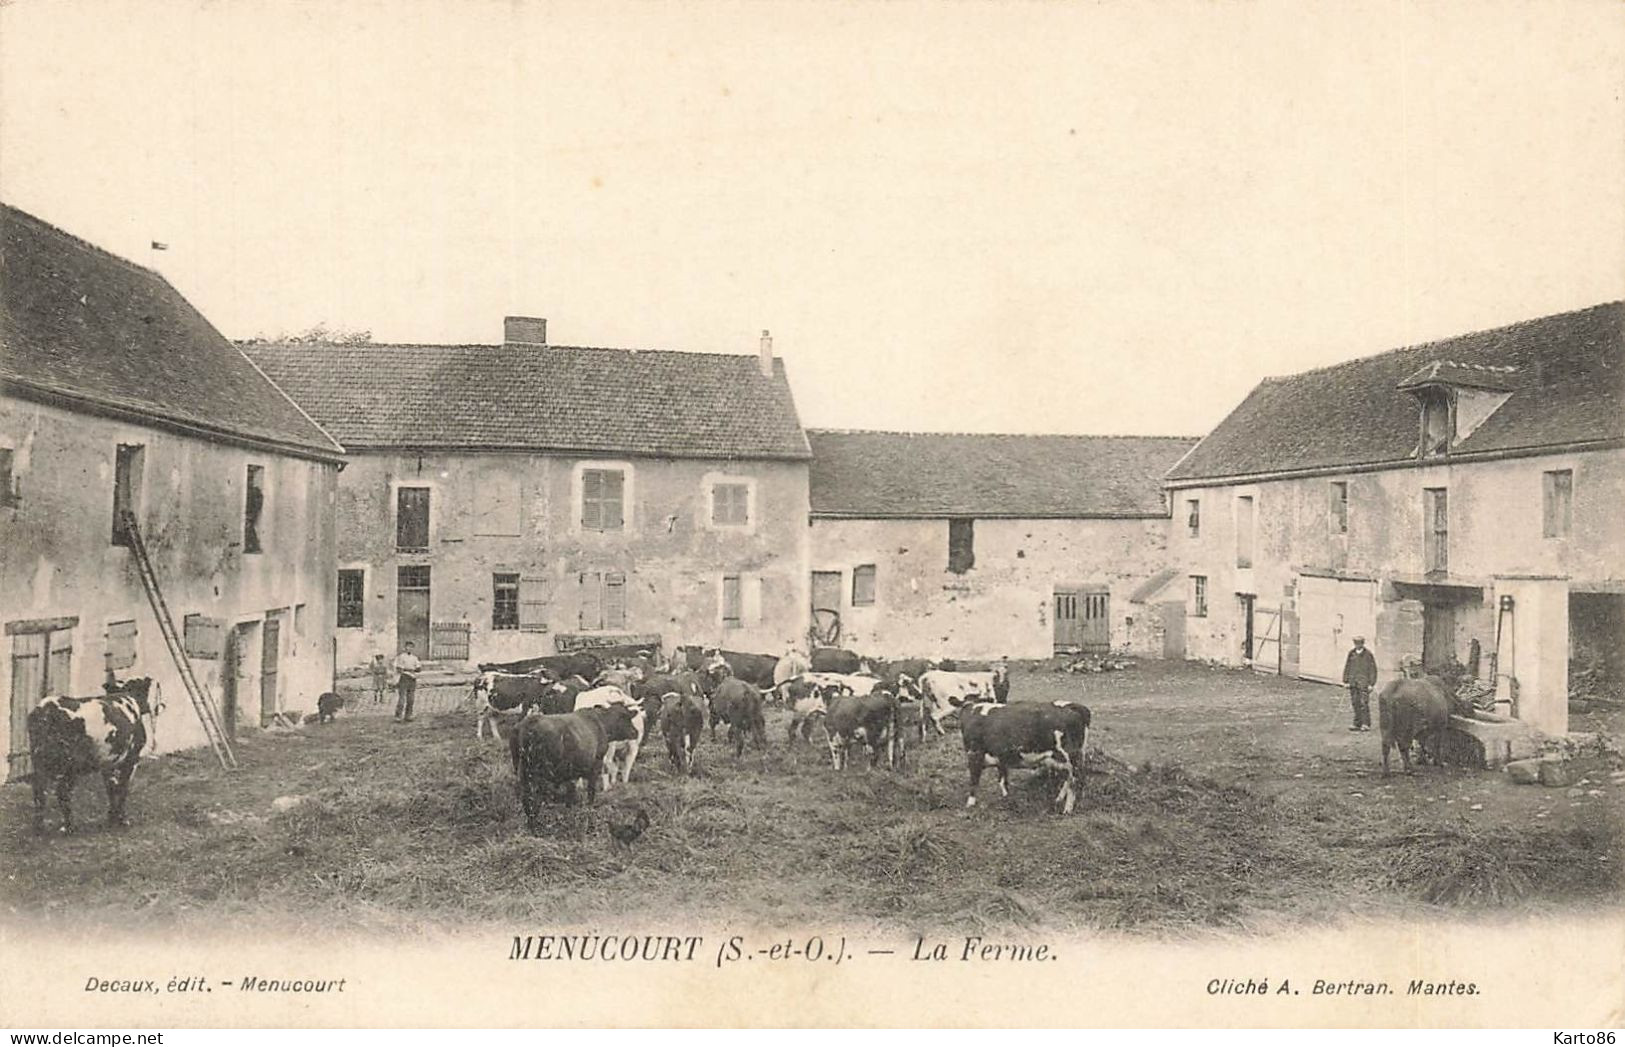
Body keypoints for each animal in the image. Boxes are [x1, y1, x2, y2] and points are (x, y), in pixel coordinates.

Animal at [27, 679, 161, 832]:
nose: (154, 708)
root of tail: (46, 708)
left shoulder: (108, 762)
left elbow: (111, 788)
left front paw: (112, 818)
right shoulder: (131, 759)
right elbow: (123, 788)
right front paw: (122, 820)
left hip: (39, 761)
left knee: (39, 792)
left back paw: (39, 828)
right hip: (69, 764)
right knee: (62, 792)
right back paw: (69, 827)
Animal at [955, 699, 1098, 812]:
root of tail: (1076, 708)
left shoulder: (974, 753)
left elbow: (974, 781)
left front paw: (970, 804)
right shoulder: (1001, 757)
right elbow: (1002, 780)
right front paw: (1006, 798)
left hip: (1071, 756)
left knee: (1075, 779)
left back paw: (1067, 809)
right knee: (1068, 778)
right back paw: (1058, 799)